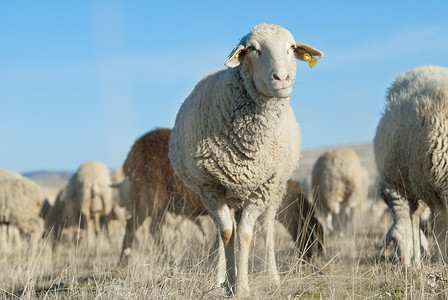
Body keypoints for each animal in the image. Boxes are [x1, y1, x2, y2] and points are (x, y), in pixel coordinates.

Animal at [168, 23, 322, 296]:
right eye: (253, 49)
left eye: (291, 48)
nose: (283, 79)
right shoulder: (211, 187)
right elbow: (227, 233)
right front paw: (229, 283)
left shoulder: (262, 188)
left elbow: (246, 235)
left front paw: (242, 286)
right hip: (222, 194)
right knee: (222, 231)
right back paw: (218, 279)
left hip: (275, 190)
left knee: (267, 228)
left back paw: (272, 277)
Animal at [372, 65, 448, 264]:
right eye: (396, 244)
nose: (405, 265)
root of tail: (425, 67)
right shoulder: (435, 191)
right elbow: (440, 229)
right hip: (411, 185)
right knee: (414, 217)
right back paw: (417, 265)